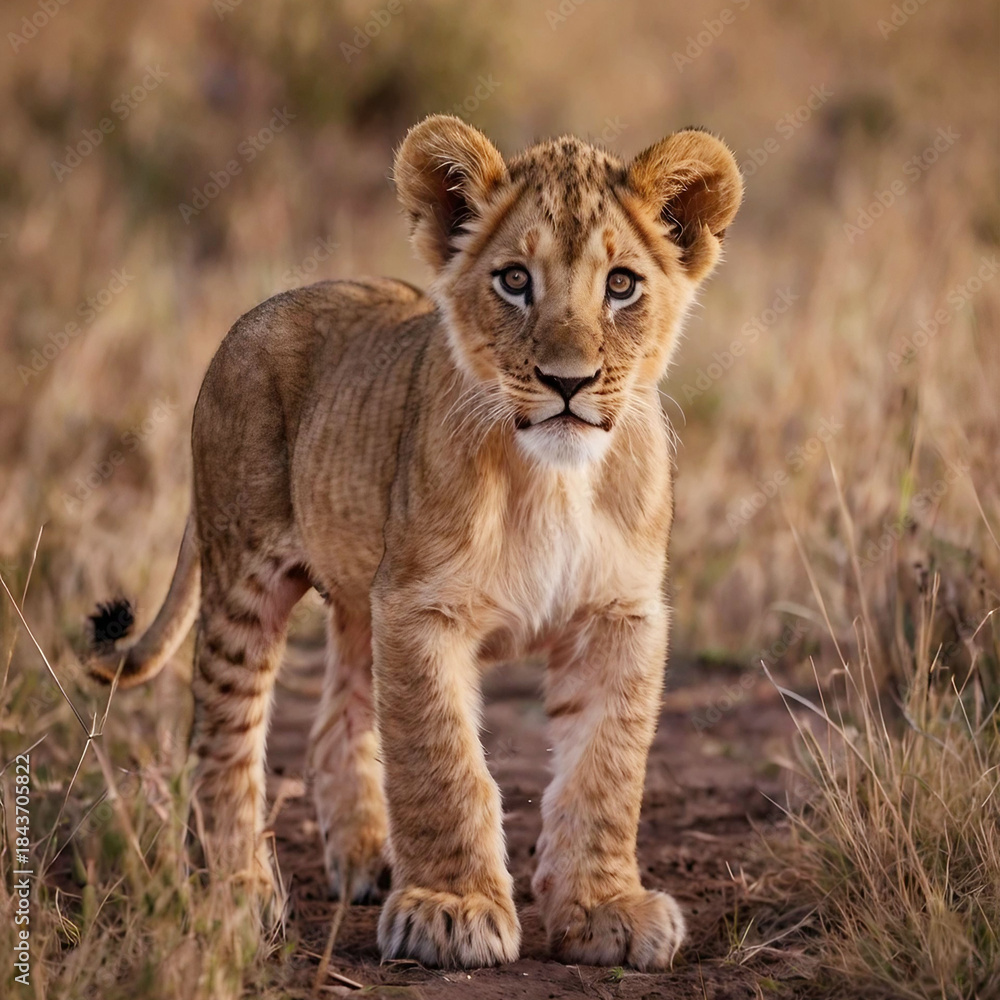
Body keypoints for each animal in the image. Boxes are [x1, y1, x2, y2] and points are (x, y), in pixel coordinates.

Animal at [87, 114, 742, 970]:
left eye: (623, 285)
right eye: (514, 281)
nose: (567, 382)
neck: (553, 480)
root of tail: (263, 309)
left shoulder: (618, 614)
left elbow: (606, 770)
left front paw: (604, 910)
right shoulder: (420, 608)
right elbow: (442, 761)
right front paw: (452, 911)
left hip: (361, 594)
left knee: (334, 727)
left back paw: (368, 859)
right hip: (246, 571)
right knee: (224, 737)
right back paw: (237, 897)